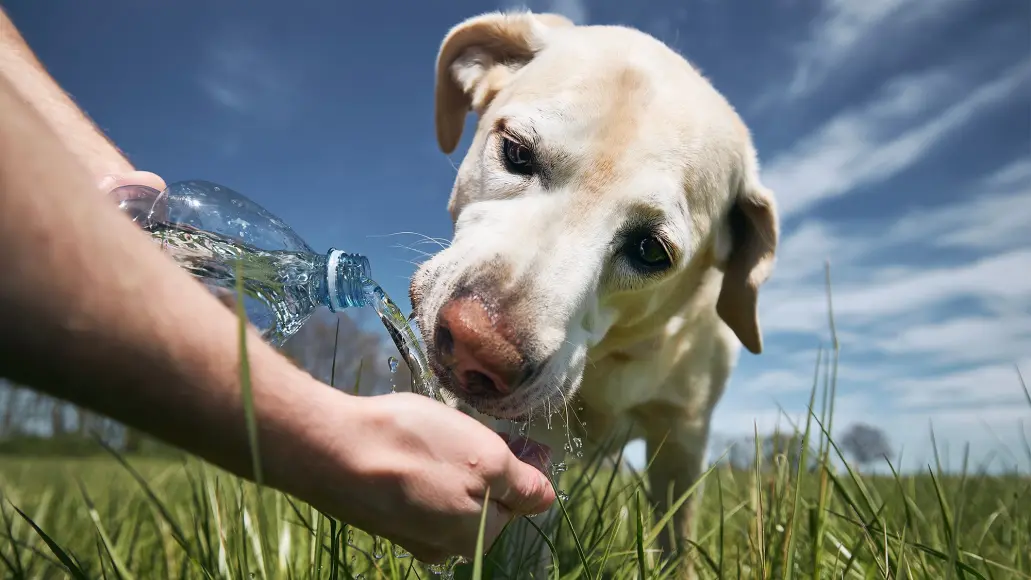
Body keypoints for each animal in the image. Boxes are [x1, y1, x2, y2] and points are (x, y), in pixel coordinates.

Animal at [406, 7, 775, 576]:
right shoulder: (531, 435)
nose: (476, 347)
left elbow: (678, 541)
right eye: (516, 152)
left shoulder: (683, 440)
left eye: (650, 250)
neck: (613, 357)